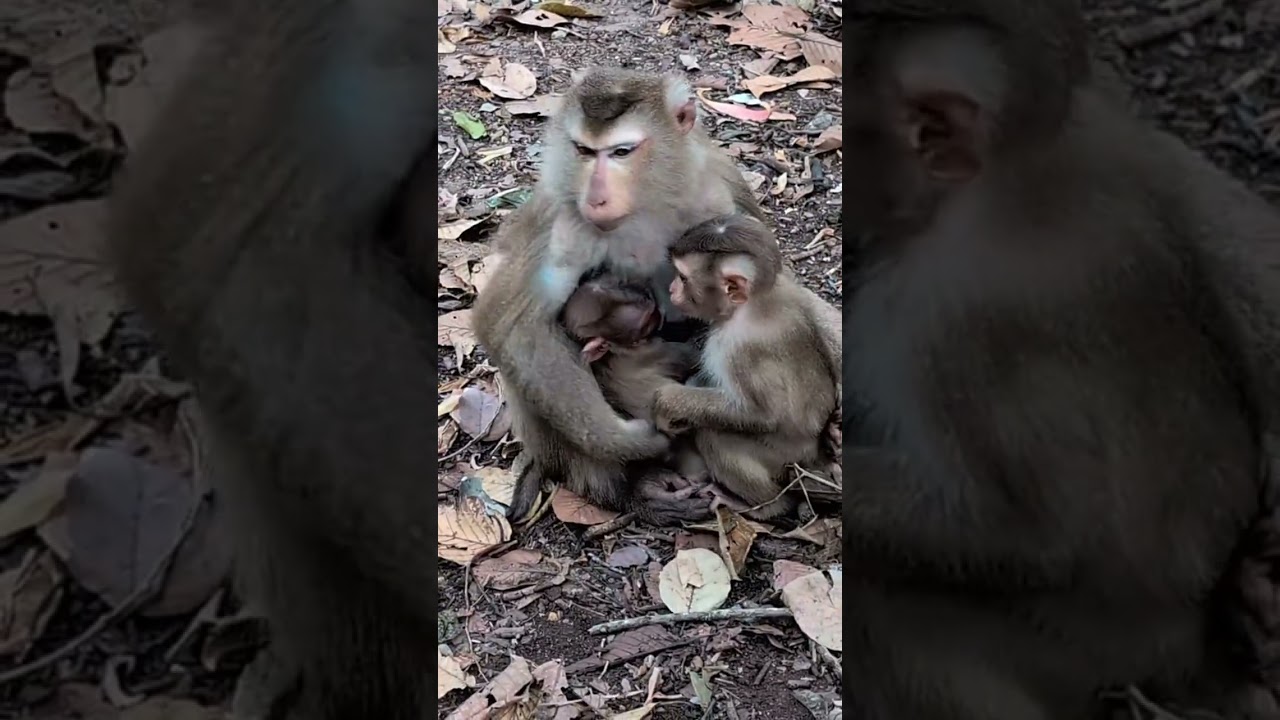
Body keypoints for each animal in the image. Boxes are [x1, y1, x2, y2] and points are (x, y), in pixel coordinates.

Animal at [652, 215, 837, 521]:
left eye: (683, 278)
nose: (671, 289)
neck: (754, 305)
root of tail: (813, 456)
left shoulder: (735, 349)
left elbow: (760, 415)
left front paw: (668, 402)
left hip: (783, 459)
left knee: (714, 435)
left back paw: (768, 507)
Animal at [838, 0, 1280, 718]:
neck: (1002, 185)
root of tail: (1191, 648)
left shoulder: (948, 322)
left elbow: (1024, 534)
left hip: (1092, 658)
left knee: (880, 602)